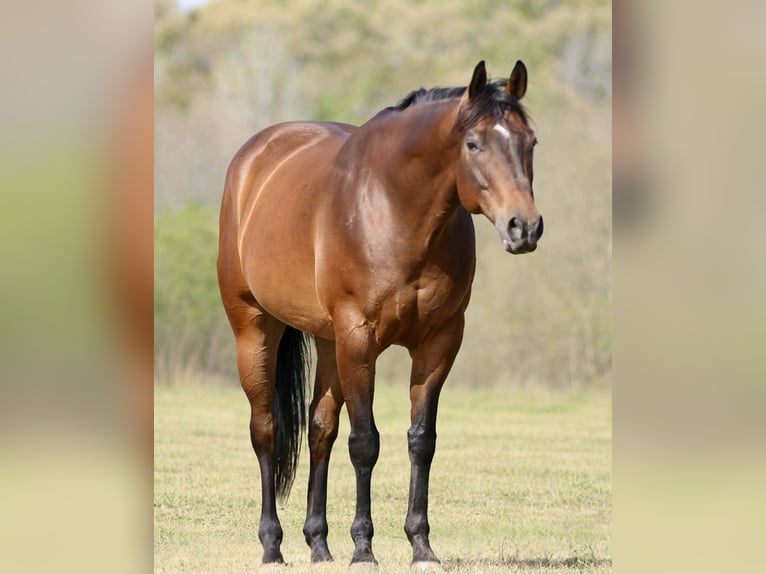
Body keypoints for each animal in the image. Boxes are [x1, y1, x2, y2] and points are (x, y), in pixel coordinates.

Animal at [217, 59, 543, 568]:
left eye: (531, 142)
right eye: (473, 144)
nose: (523, 227)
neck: (394, 209)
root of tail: (253, 159)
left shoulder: (439, 342)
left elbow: (421, 440)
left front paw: (421, 545)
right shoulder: (359, 340)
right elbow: (365, 441)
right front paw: (364, 548)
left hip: (329, 342)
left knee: (320, 430)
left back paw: (319, 544)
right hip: (254, 329)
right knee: (266, 429)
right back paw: (272, 546)